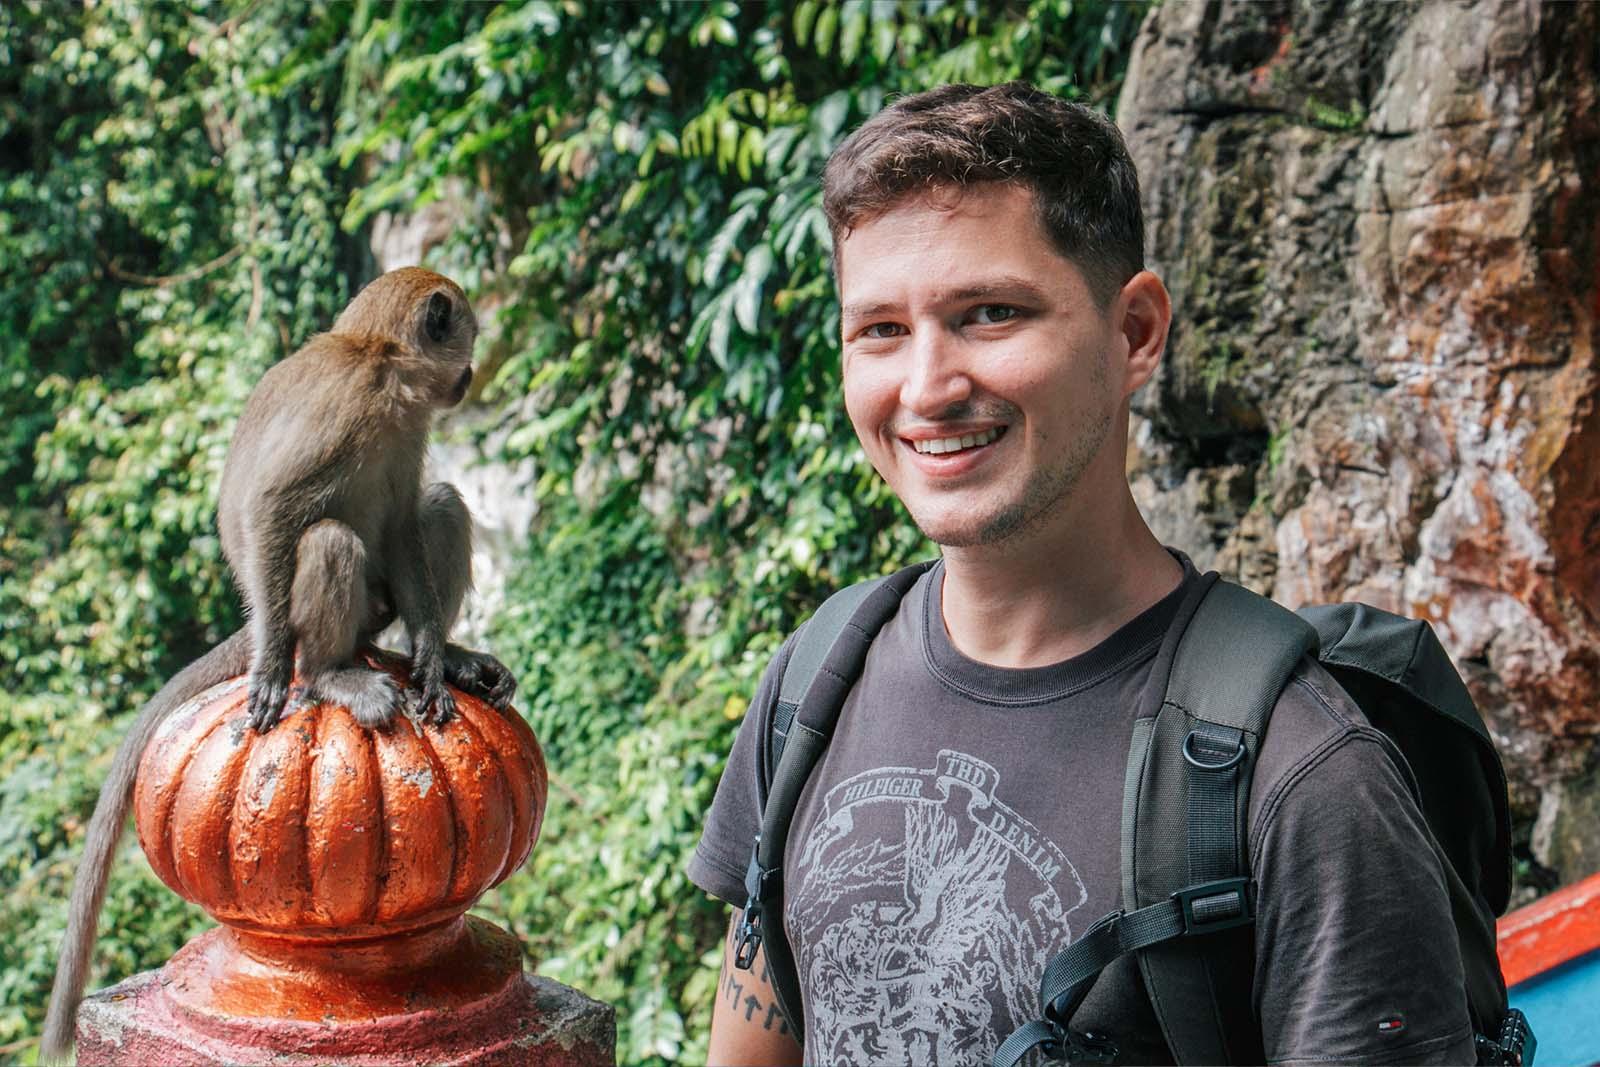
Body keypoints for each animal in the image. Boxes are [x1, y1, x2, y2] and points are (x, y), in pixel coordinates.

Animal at [40, 268, 512, 1067]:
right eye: (467, 339)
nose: (472, 372)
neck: (379, 359)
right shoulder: (352, 403)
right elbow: (275, 505)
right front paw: (267, 673)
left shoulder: (406, 424)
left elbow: (401, 525)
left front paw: (431, 657)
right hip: (296, 611)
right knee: (324, 538)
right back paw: (324, 673)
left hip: (374, 611)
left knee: (434, 506)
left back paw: (443, 657)